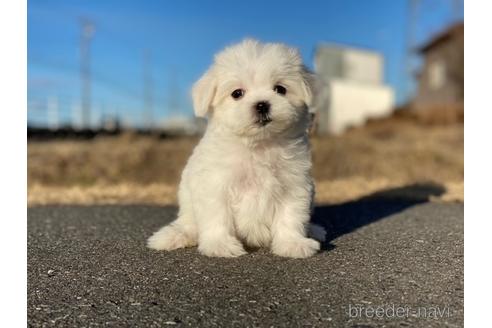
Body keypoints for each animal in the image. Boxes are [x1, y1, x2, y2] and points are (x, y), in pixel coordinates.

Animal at [148, 38, 324, 258]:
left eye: (280, 89)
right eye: (237, 93)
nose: (261, 105)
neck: (258, 145)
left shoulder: (294, 184)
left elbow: (290, 216)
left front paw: (292, 243)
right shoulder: (215, 185)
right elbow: (217, 216)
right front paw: (220, 245)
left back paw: (314, 230)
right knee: (189, 226)